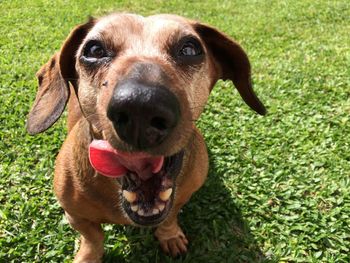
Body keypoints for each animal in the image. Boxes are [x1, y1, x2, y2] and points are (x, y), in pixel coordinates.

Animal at [26, 13, 266, 262]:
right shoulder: (75, 214)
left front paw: (170, 236)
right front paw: (88, 256)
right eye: (94, 50)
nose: (140, 107)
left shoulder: (181, 198)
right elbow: (93, 238)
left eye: (190, 48)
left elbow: (170, 217)